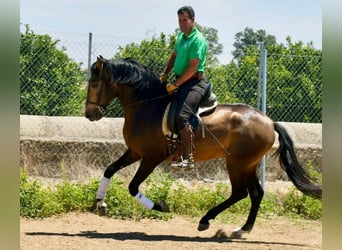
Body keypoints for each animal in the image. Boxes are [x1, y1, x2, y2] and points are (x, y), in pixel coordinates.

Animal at [85, 55, 320, 237]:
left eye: (95, 84)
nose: (89, 114)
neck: (148, 106)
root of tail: (270, 122)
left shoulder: (152, 157)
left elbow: (133, 187)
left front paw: (160, 206)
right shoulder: (135, 152)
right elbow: (109, 169)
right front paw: (101, 203)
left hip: (237, 163)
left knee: (240, 193)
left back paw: (206, 220)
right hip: (247, 164)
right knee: (256, 193)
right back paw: (242, 229)